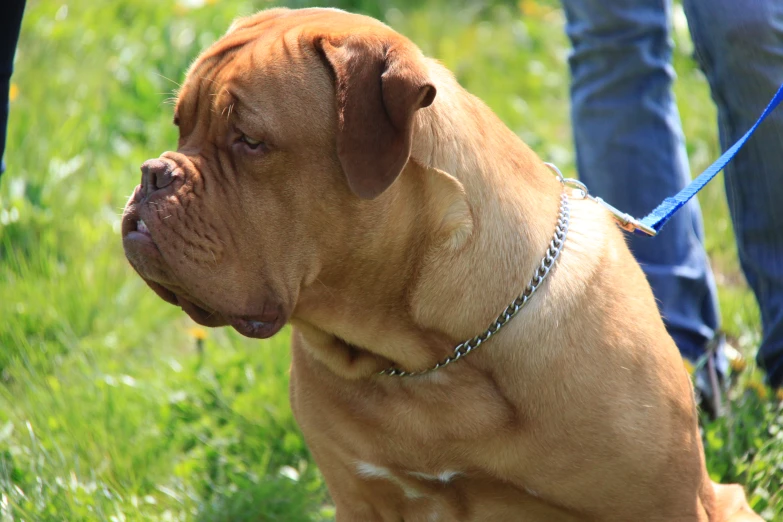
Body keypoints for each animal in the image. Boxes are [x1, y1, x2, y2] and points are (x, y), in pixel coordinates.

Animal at [121, 8, 760, 520]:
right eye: (181, 125)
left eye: (250, 141)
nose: (154, 174)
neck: (427, 359)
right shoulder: (361, 499)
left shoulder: (663, 503)